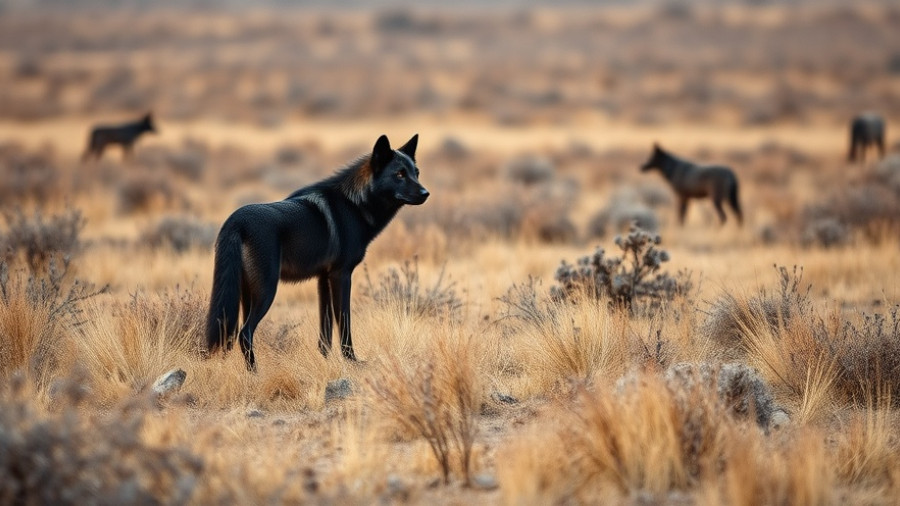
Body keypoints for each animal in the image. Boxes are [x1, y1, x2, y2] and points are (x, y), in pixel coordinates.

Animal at [205, 134, 428, 371]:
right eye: (399, 174)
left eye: (416, 172)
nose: (426, 193)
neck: (354, 205)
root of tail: (235, 221)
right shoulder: (341, 275)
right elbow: (344, 322)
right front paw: (352, 361)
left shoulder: (323, 278)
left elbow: (325, 331)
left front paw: (325, 360)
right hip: (266, 290)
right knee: (244, 332)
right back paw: (255, 374)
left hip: (246, 293)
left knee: (237, 332)